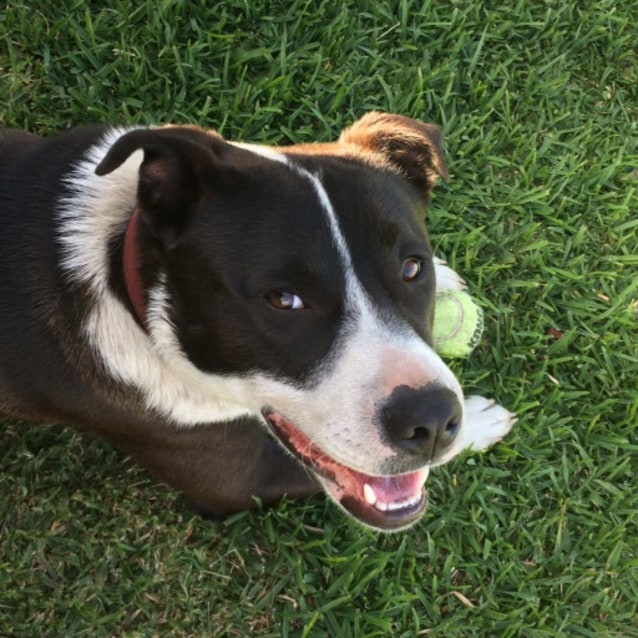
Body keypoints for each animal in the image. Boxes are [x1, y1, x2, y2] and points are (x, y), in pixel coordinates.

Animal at [0, 112, 516, 532]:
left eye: (412, 268)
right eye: (283, 299)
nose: (433, 421)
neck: (133, 289)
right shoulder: (237, 479)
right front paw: (481, 421)